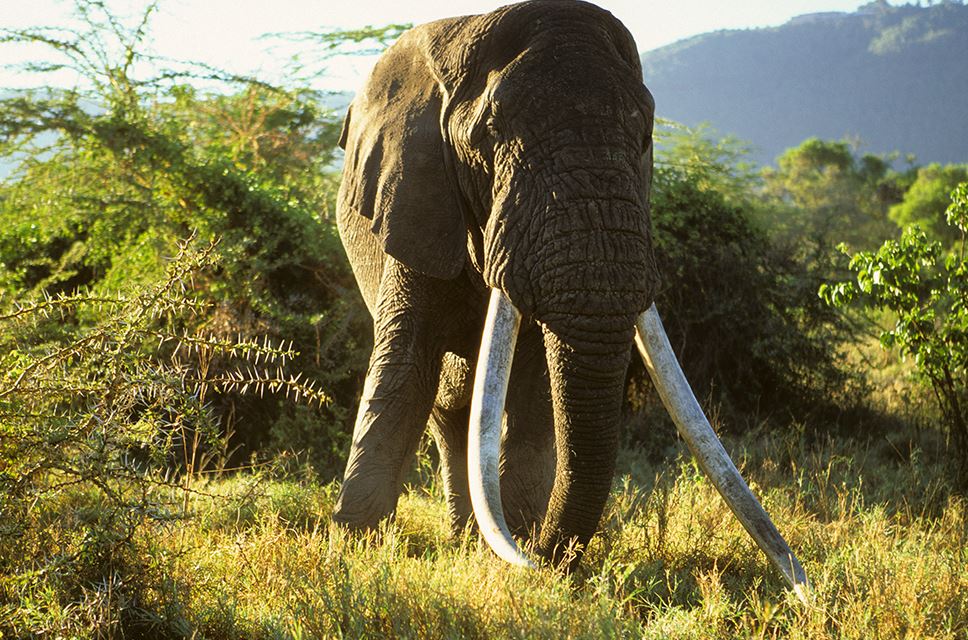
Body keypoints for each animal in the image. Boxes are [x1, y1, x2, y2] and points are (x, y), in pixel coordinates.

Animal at [332, 0, 807, 597]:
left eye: (645, 135)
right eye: (489, 133)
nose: (537, 555)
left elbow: (534, 380)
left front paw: (514, 543)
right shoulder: (418, 200)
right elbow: (406, 365)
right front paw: (355, 550)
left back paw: (471, 536)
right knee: (446, 401)